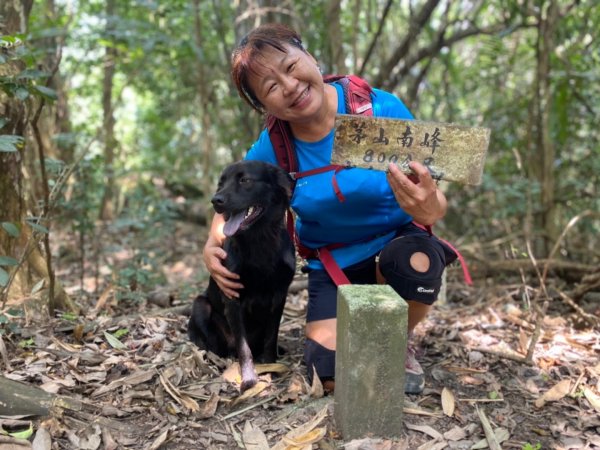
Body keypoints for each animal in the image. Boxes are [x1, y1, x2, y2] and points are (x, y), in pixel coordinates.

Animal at [188, 160, 296, 392]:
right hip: (200, 304)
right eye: (220, 183)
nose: (216, 200)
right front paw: (249, 379)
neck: (259, 240)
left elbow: (271, 337)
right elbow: (243, 347)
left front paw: (270, 365)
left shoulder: (279, 297)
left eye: (245, 180)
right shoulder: (233, 298)